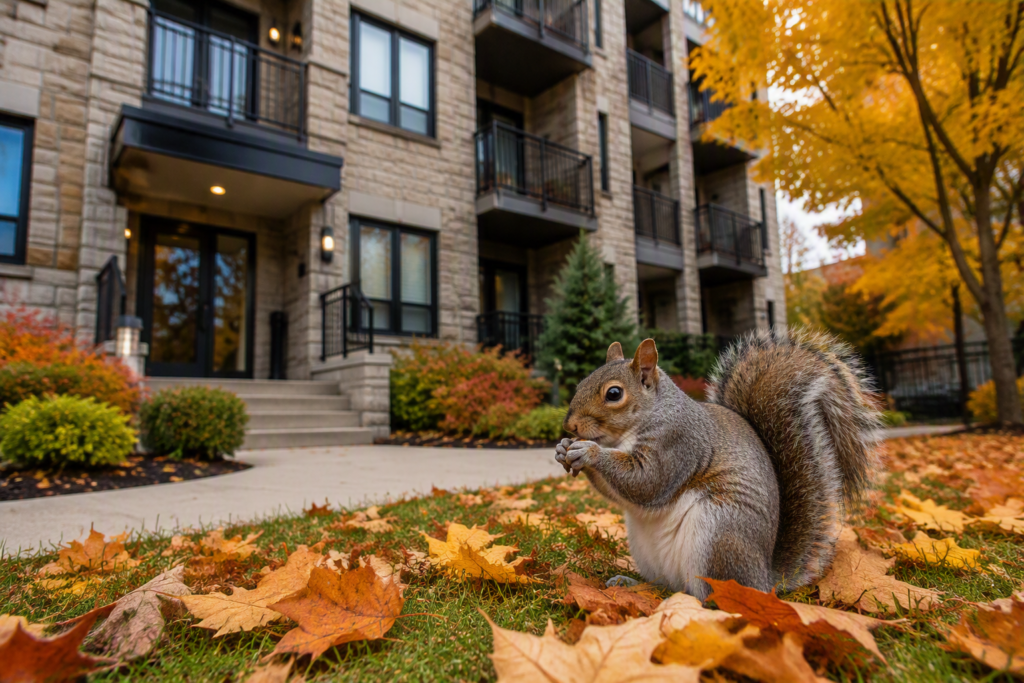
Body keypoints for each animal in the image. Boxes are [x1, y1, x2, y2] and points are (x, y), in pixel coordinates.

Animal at [555, 328, 881, 599]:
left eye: (614, 393)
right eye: (581, 382)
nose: (569, 426)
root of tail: (764, 580)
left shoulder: (679, 443)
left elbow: (648, 481)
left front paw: (590, 452)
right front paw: (562, 450)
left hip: (718, 535)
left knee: (712, 597)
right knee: (666, 584)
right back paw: (633, 584)